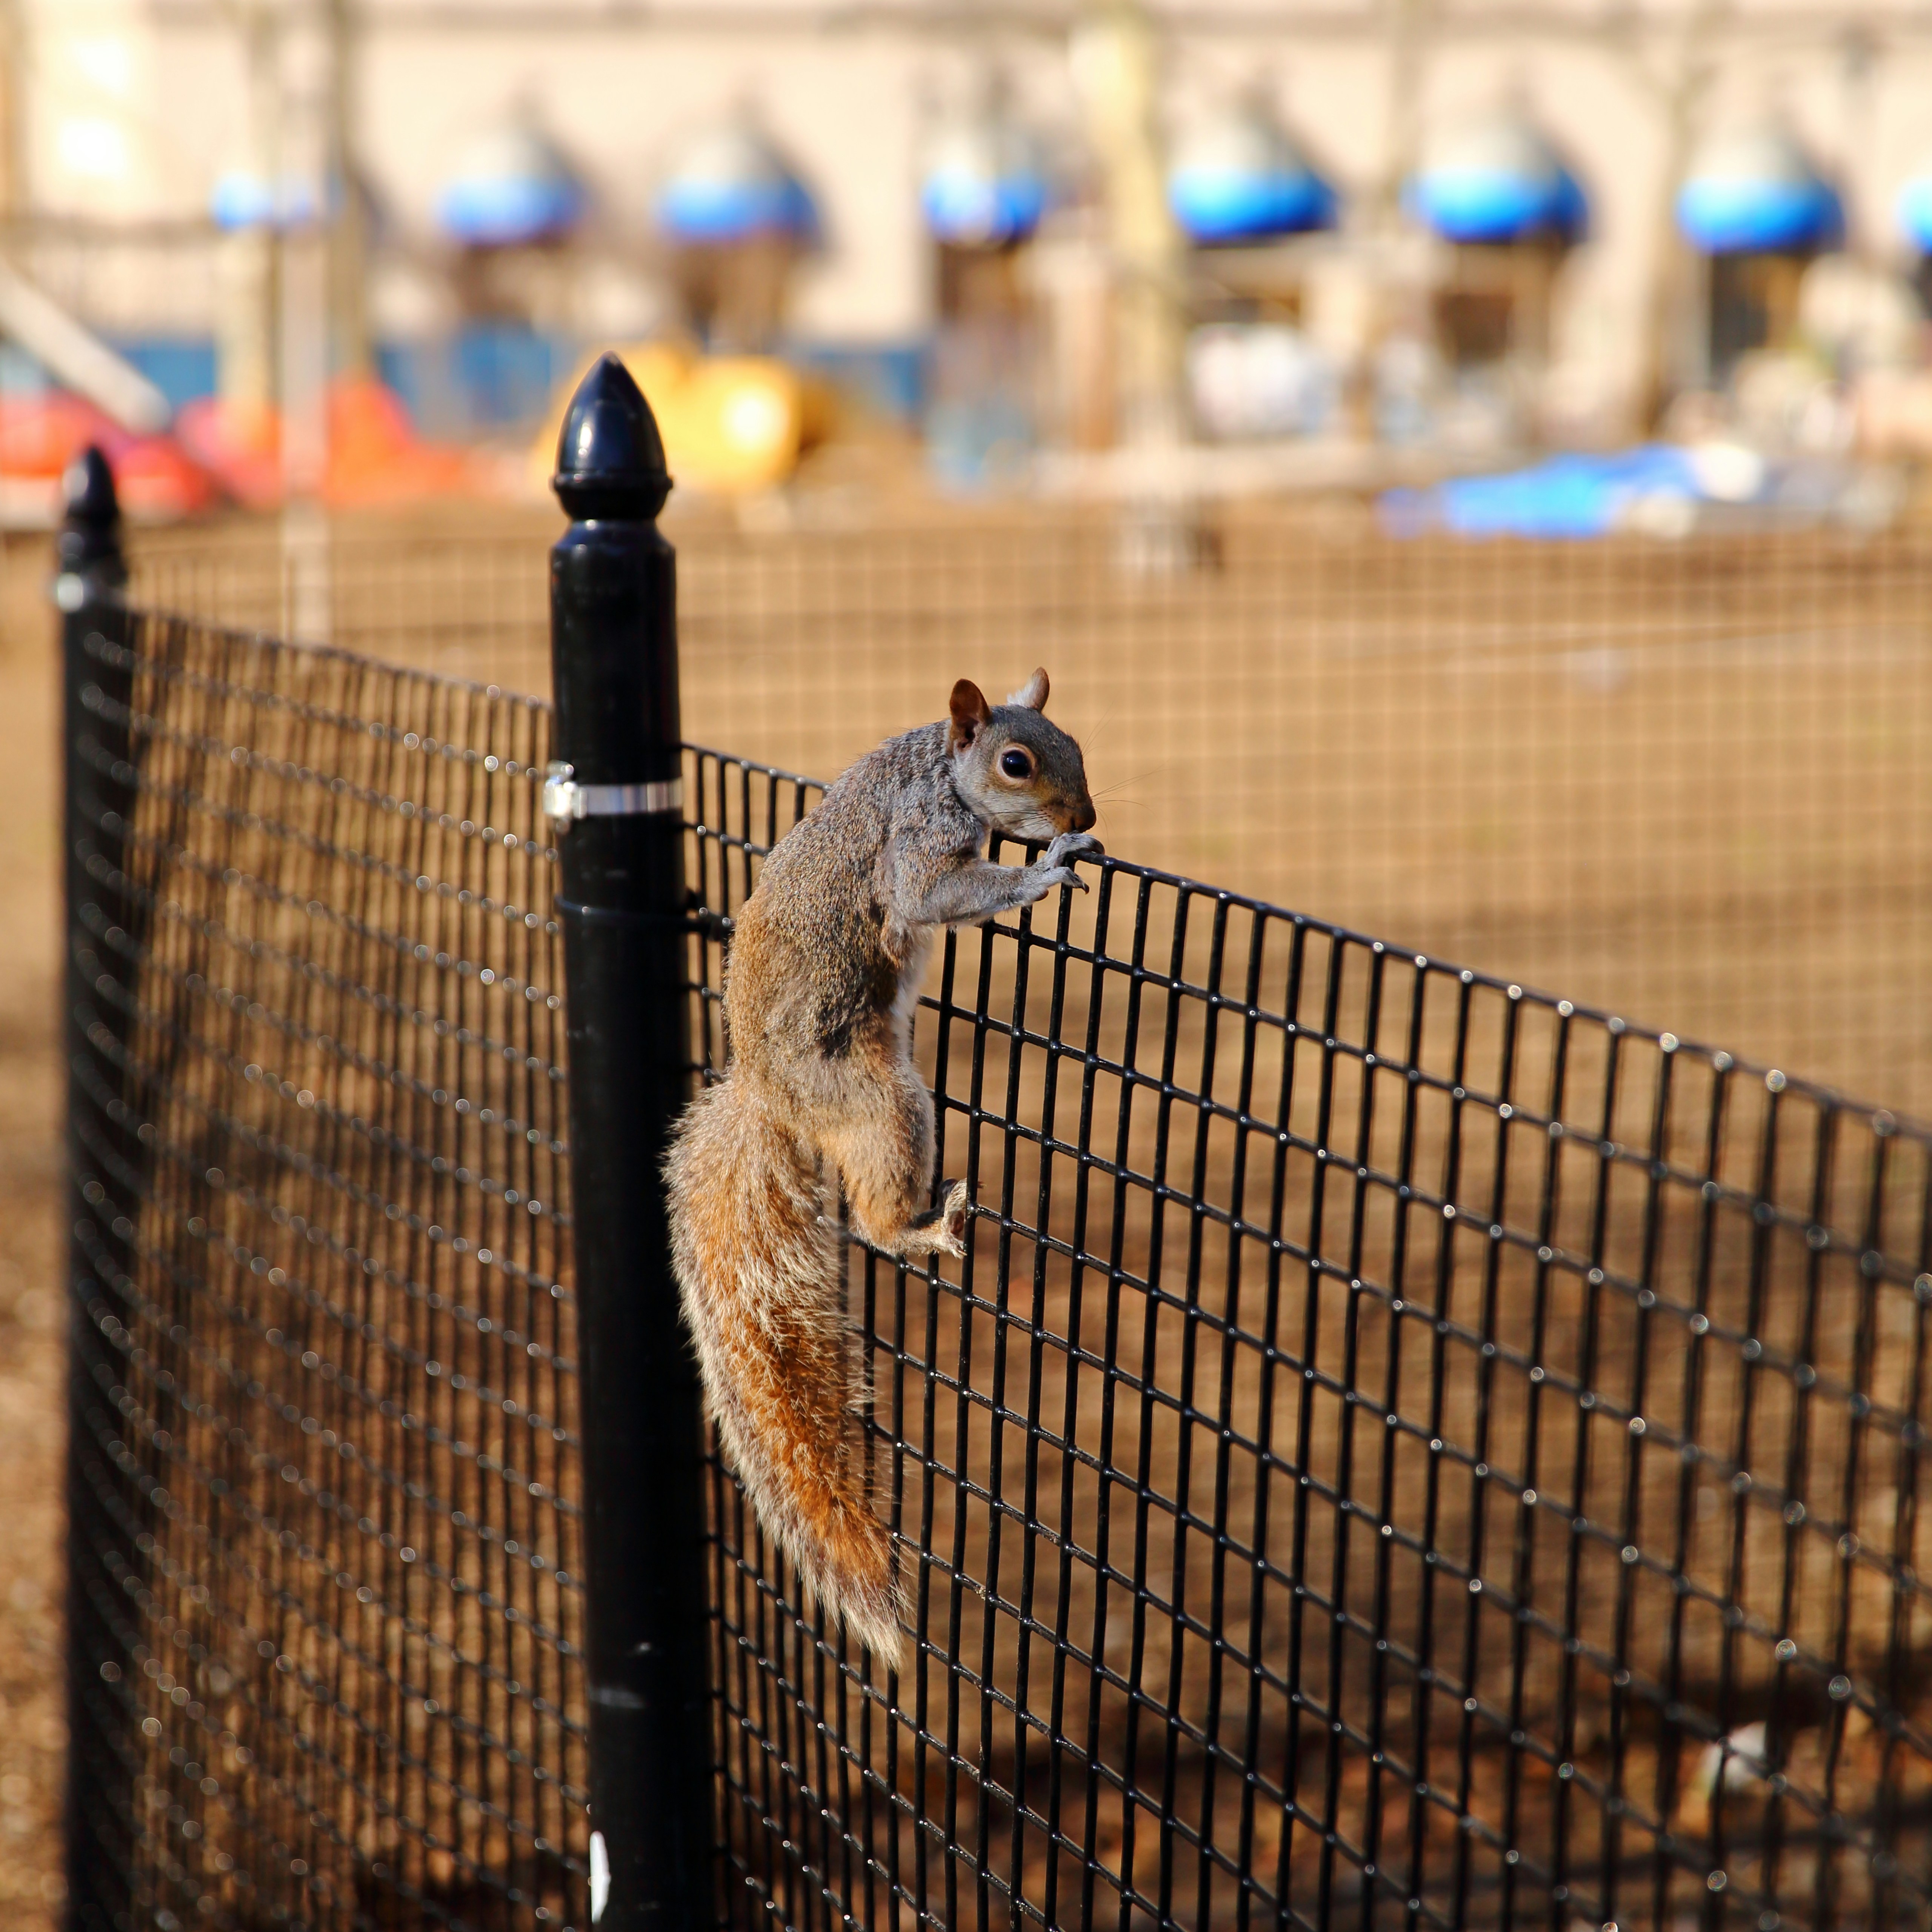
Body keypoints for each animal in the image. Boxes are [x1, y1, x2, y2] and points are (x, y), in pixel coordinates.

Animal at [666, 669, 1099, 1667]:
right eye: (1016, 762)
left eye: (1076, 746)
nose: (1088, 811)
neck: (936, 761)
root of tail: (771, 1098)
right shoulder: (918, 844)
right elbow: (934, 894)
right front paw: (1046, 865)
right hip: (879, 1102)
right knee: (870, 1217)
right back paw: (923, 1229)